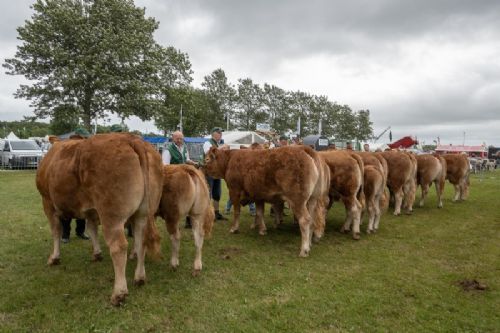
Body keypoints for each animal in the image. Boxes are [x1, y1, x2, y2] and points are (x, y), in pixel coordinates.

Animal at [36, 134, 163, 304]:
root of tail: (131, 138)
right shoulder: (91, 210)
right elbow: (92, 229)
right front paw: (97, 254)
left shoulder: (48, 203)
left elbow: (56, 231)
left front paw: (54, 258)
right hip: (143, 214)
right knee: (140, 241)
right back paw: (140, 278)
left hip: (111, 214)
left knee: (118, 247)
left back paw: (119, 293)